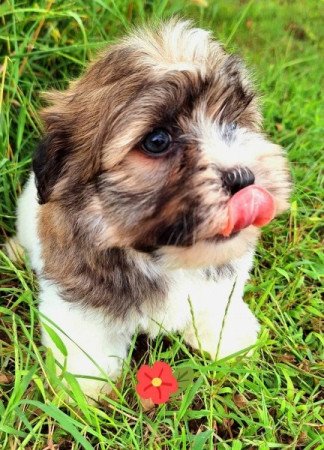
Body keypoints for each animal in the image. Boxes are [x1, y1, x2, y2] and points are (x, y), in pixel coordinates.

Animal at [14, 20, 292, 400]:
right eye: (157, 141)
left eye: (234, 122)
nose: (243, 177)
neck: (163, 259)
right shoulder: (77, 299)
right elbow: (85, 343)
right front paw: (86, 386)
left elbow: (216, 303)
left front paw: (229, 337)